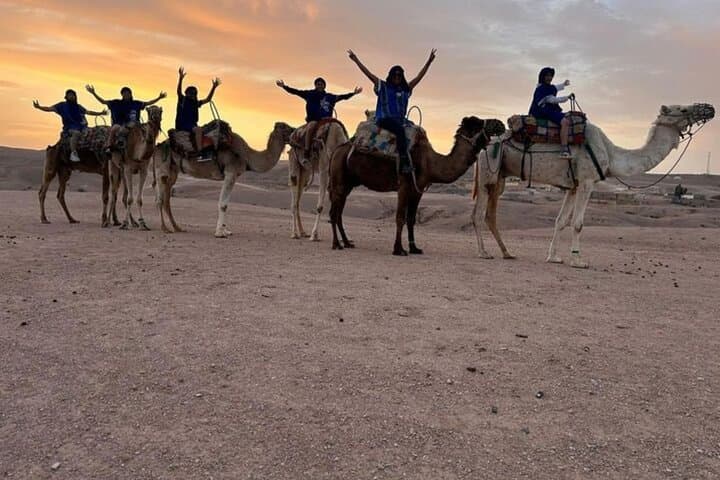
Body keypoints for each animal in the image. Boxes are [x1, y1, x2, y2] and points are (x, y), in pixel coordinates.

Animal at [153, 122, 295, 237]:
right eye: (286, 128)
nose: (296, 130)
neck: (247, 156)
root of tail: (158, 146)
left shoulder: (232, 176)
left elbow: (226, 203)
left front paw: (226, 230)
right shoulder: (230, 173)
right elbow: (223, 204)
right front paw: (220, 233)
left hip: (173, 172)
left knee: (166, 200)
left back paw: (177, 228)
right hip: (162, 170)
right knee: (160, 199)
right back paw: (165, 228)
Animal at [329, 116, 506, 255]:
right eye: (477, 123)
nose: (500, 124)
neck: (430, 163)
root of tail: (337, 150)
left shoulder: (418, 190)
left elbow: (411, 218)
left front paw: (414, 248)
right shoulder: (404, 186)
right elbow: (400, 217)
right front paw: (398, 249)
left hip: (348, 184)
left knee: (338, 212)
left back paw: (347, 242)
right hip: (339, 180)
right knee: (334, 212)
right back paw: (336, 244)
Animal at [472, 102, 715, 268]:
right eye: (681, 109)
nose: (709, 108)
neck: (611, 153)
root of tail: (484, 142)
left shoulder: (573, 186)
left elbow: (560, 221)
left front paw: (554, 257)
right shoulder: (587, 181)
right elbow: (578, 223)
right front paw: (578, 260)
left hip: (500, 178)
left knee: (490, 214)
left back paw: (507, 253)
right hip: (488, 172)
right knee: (478, 213)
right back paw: (484, 253)